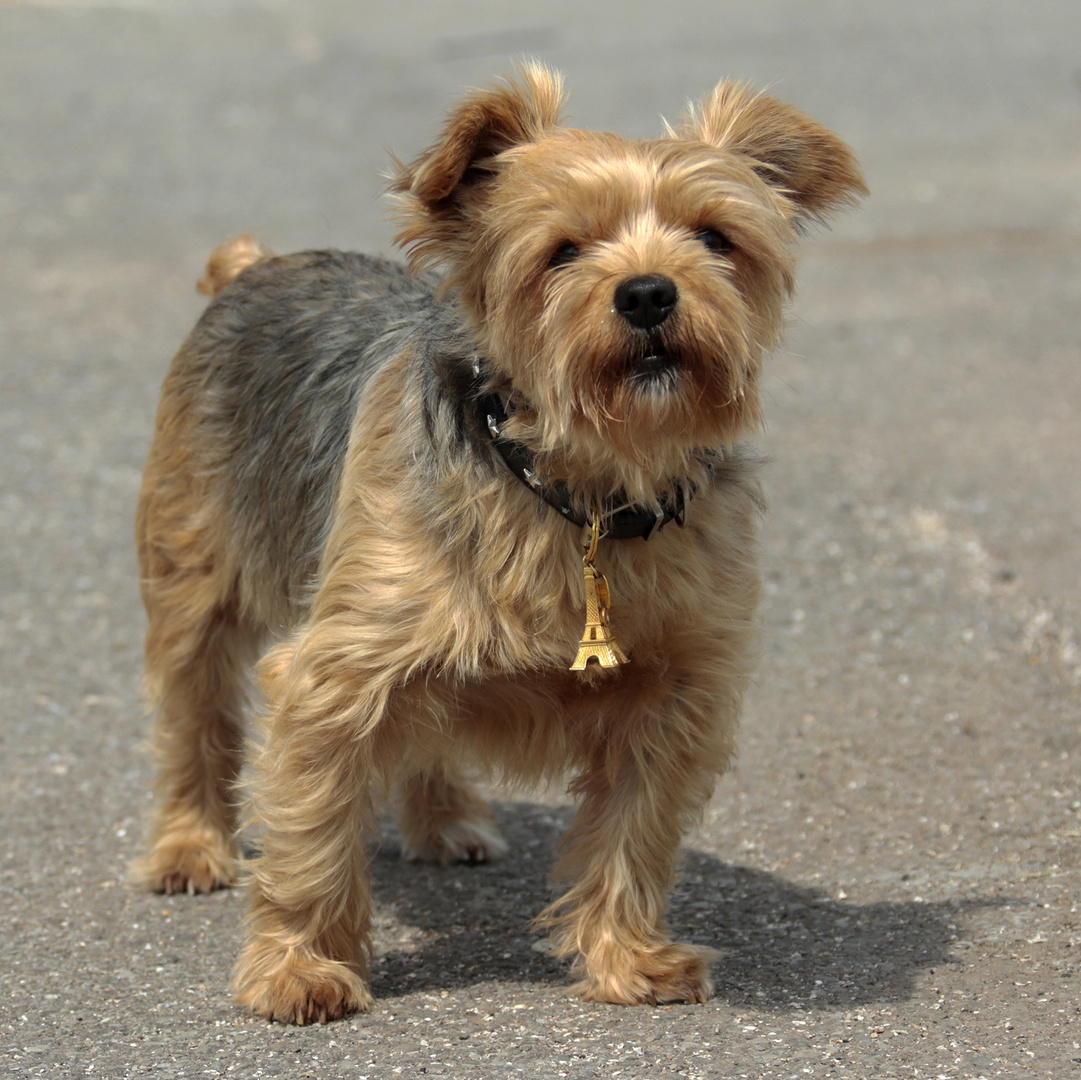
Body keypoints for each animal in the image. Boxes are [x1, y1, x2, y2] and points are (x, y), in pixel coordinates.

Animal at [132, 63, 860, 1024]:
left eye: (715, 237)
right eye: (562, 251)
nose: (649, 292)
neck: (584, 492)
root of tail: (255, 267)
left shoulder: (679, 693)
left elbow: (634, 835)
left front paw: (627, 958)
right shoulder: (332, 677)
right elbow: (311, 839)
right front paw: (300, 969)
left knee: (425, 725)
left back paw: (443, 817)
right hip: (191, 567)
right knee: (194, 710)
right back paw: (188, 848)